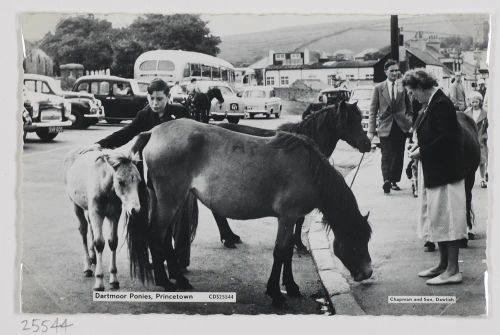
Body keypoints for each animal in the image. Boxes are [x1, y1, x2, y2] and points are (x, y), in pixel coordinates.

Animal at [64, 150, 142, 292]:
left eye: (139, 181)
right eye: (120, 181)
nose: (135, 210)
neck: (105, 187)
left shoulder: (114, 215)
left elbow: (113, 242)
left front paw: (114, 280)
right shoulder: (96, 213)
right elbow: (100, 243)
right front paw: (99, 282)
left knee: (90, 228)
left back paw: (93, 257)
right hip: (76, 205)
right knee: (83, 231)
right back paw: (88, 267)